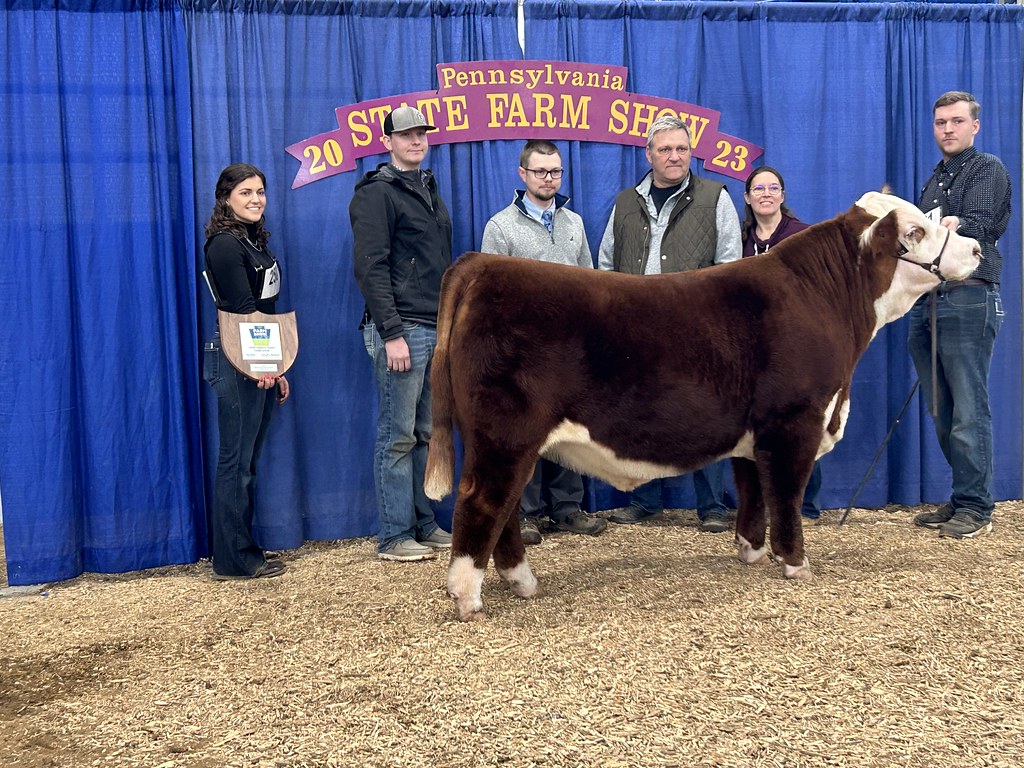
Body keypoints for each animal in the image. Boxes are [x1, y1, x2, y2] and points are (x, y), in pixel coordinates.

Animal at [424, 192, 981, 621]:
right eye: (915, 230)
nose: (976, 247)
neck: (824, 298)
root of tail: (484, 264)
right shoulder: (793, 422)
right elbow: (786, 496)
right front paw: (796, 563)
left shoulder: (755, 431)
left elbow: (753, 492)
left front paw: (751, 552)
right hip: (505, 433)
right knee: (483, 502)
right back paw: (469, 598)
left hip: (505, 440)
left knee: (506, 509)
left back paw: (522, 582)